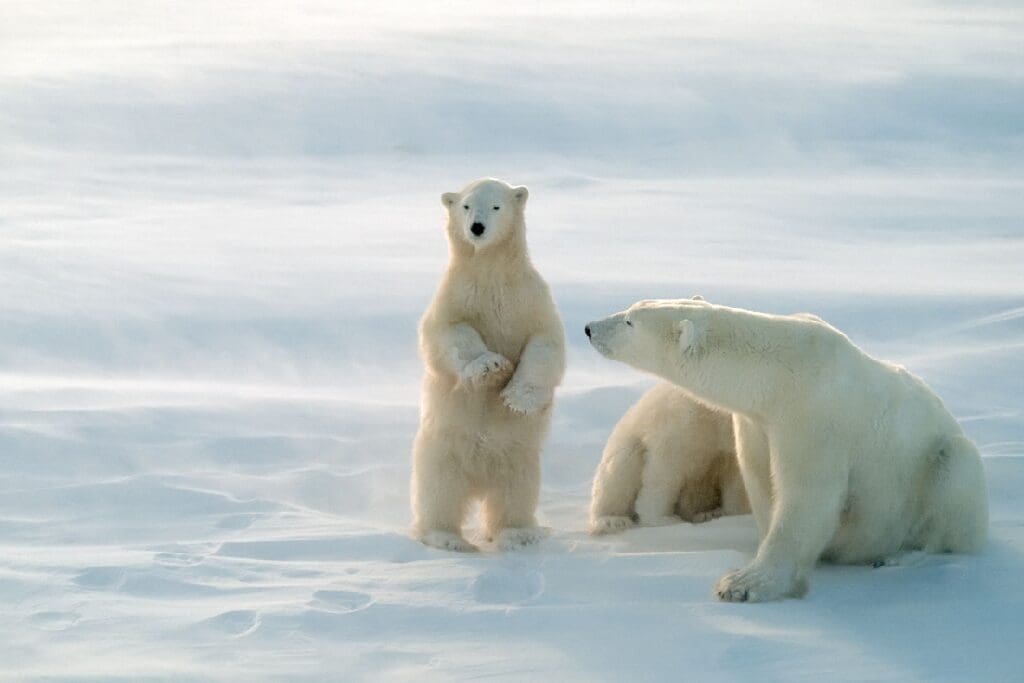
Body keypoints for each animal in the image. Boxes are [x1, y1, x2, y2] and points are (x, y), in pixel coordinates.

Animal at [409, 178, 569, 557]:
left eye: (496, 206)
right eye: (466, 206)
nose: (477, 228)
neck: (492, 272)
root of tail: (479, 479)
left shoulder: (529, 299)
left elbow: (546, 344)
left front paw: (516, 398)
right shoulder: (456, 296)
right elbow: (448, 333)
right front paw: (490, 366)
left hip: (519, 458)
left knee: (514, 494)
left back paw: (519, 534)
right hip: (440, 451)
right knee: (439, 493)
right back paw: (447, 537)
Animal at [589, 378, 749, 532]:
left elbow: (736, 480)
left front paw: (731, 514)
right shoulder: (686, 422)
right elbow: (666, 468)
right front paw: (664, 519)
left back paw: (707, 513)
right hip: (625, 445)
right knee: (619, 475)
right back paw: (612, 520)